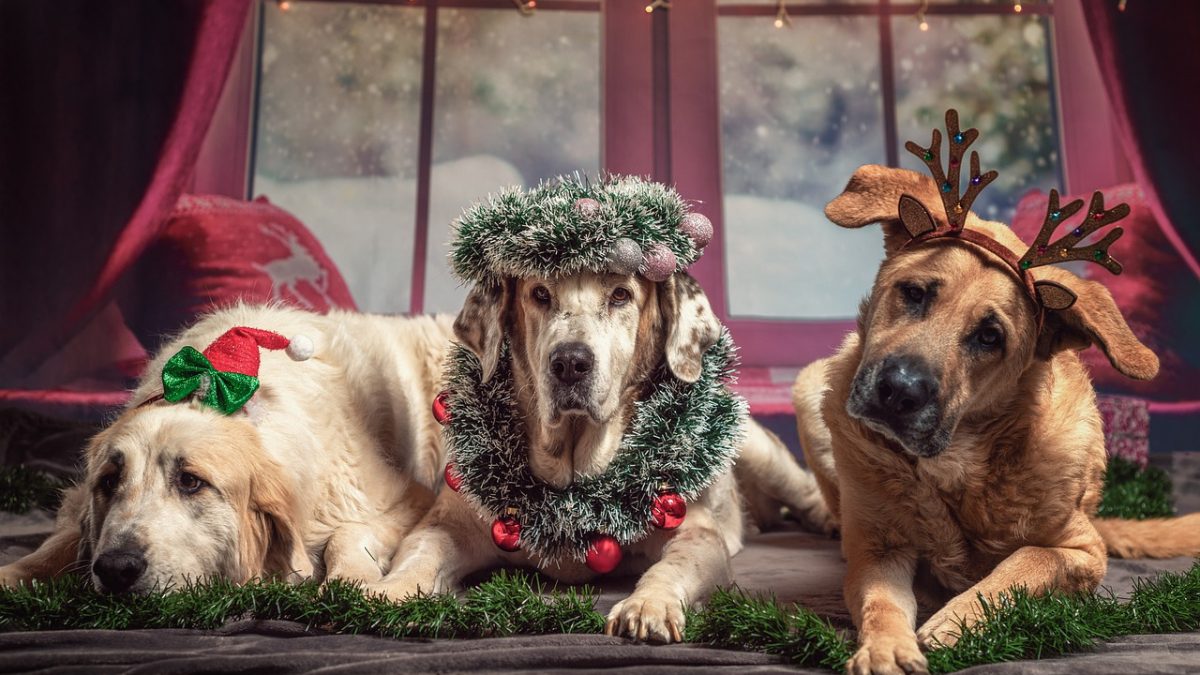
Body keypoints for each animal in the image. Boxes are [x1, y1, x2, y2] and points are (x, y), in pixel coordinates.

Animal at [1, 305, 451, 593]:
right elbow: (58, 542)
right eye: (110, 481)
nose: (115, 568)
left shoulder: (405, 500)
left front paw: (351, 582)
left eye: (190, 482)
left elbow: (347, 533)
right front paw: (12, 574)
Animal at [369, 269, 830, 638]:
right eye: (540, 294)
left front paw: (648, 605)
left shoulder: (696, 534)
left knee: (805, 487)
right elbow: (421, 553)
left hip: (755, 446)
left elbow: (672, 565)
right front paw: (389, 591)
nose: (570, 362)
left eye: (621, 294)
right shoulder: (449, 523)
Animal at [796, 164, 1200, 672]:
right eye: (914, 293)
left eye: (990, 336)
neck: (959, 464)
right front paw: (885, 647)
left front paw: (958, 619)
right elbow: (881, 601)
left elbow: (1025, 563)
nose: (899, 391)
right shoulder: (877, 550)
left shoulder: (1083, 551)